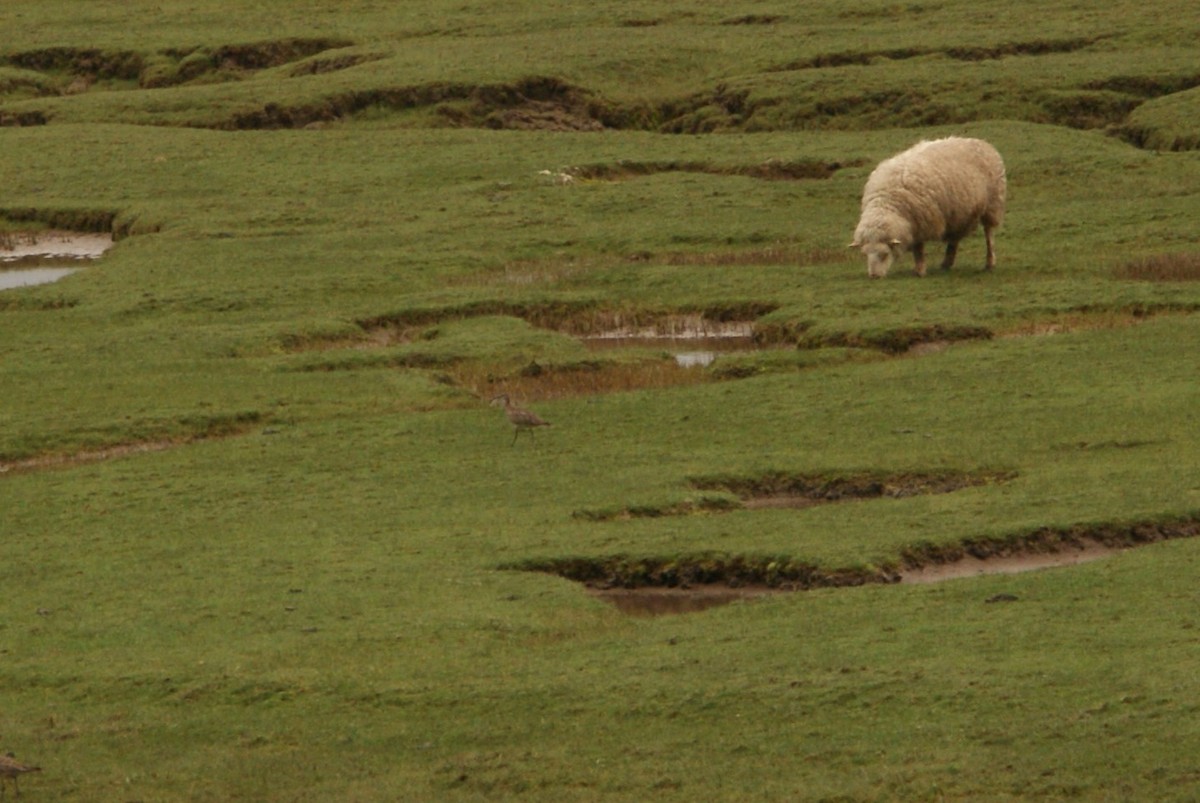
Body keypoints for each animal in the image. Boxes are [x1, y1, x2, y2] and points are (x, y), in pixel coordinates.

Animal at [849, 135, 1008, 278]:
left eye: (884, 254)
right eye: (865, 254)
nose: (874, 276)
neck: (886, 203)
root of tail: (983, 143)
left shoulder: (920, 223)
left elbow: (918, 249)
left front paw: (919, 270)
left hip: (992, 205)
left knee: (989, 234)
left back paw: (990, 262)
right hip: (957, 212)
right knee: (954, 239)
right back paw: (946, 263)